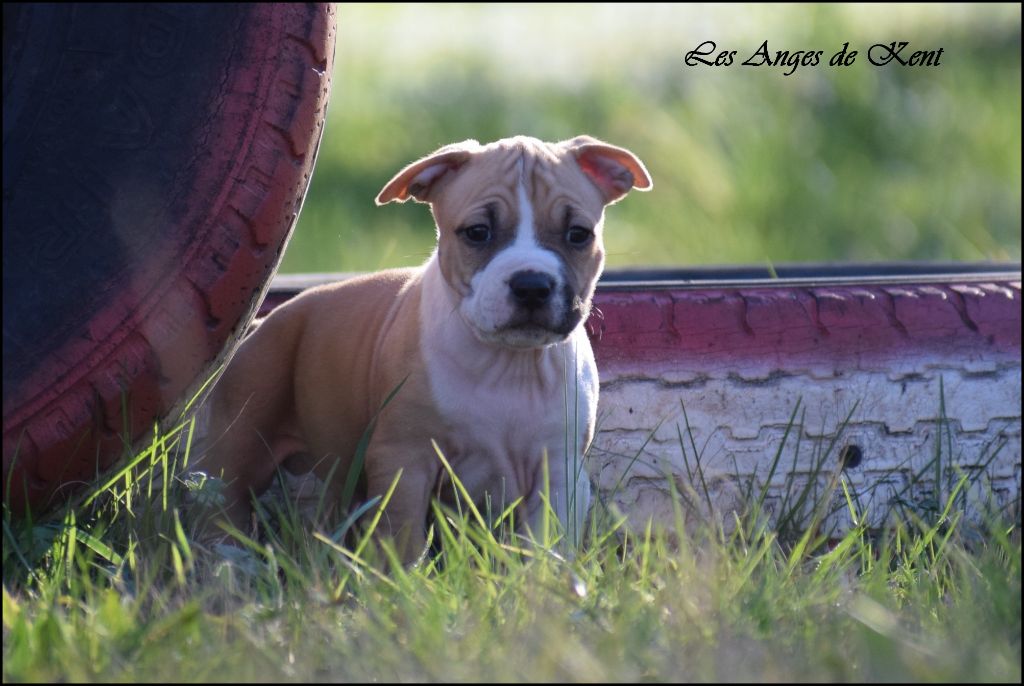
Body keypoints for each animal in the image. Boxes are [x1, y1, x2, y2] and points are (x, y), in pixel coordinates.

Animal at [195, 136, 651, 565]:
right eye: (478, 232)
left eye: (579, 234)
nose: (532, 285)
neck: (507, 364)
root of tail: (264, 319)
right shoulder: (405, 460)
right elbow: (403, 537)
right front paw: (401, 579)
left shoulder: (557, 470)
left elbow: (547, 544)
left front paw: (543, 582)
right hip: (242, 436)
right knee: (223, 500)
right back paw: (229, 561)